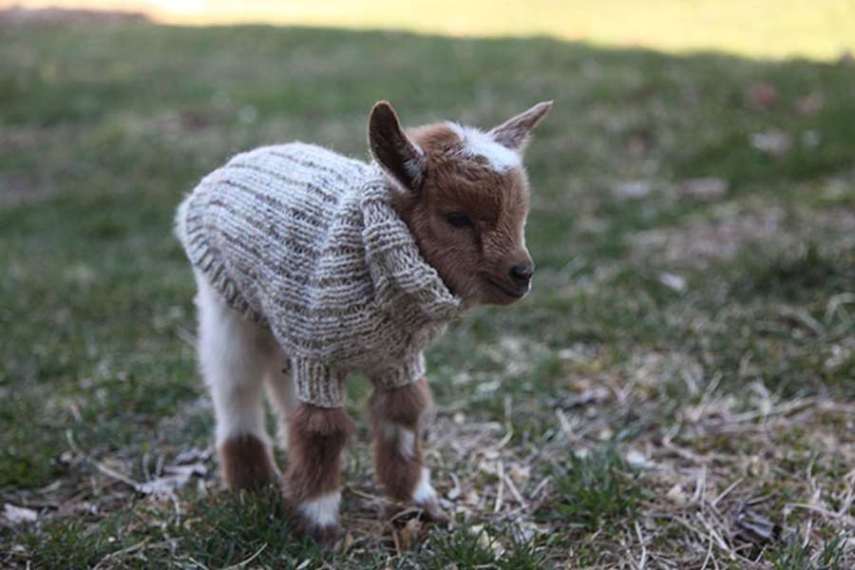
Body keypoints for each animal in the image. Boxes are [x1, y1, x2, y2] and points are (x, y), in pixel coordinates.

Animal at [172, 98, 556, 540]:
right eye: (456, 217)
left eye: (519, 215)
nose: (522, 273)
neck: (370, 253)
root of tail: (234, 163)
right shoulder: (319, 357)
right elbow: (323, 429)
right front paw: (317, 522)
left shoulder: (397, 359)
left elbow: (402, 416)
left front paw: (418, 502)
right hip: (225, 300)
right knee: (235, 384)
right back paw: (253, 482)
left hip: (280, 315)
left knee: (279, 380)